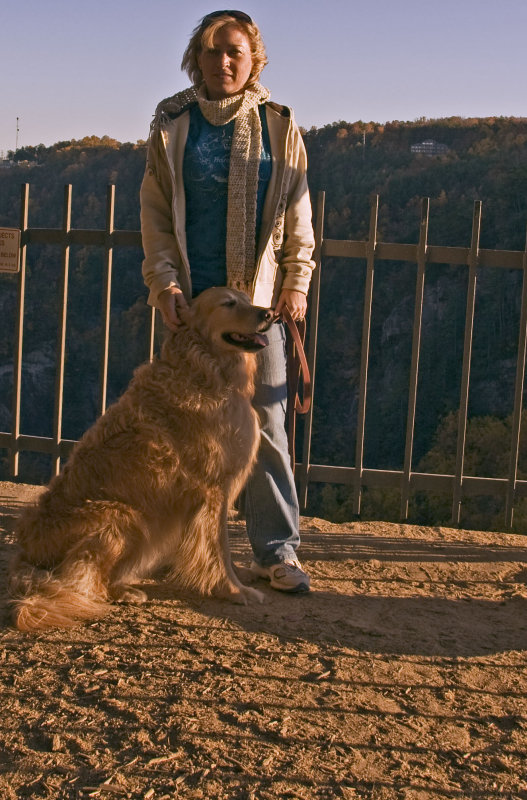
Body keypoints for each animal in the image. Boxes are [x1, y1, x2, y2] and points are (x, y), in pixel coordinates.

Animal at [9, 288, 276, 632]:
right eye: (228, 303)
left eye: (246, 298)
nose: (270, 313)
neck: (203, 367)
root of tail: (26, 554)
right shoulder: (213, 489)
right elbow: (219, 548)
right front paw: (231, 589)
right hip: (122, 516)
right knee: (83, 580)